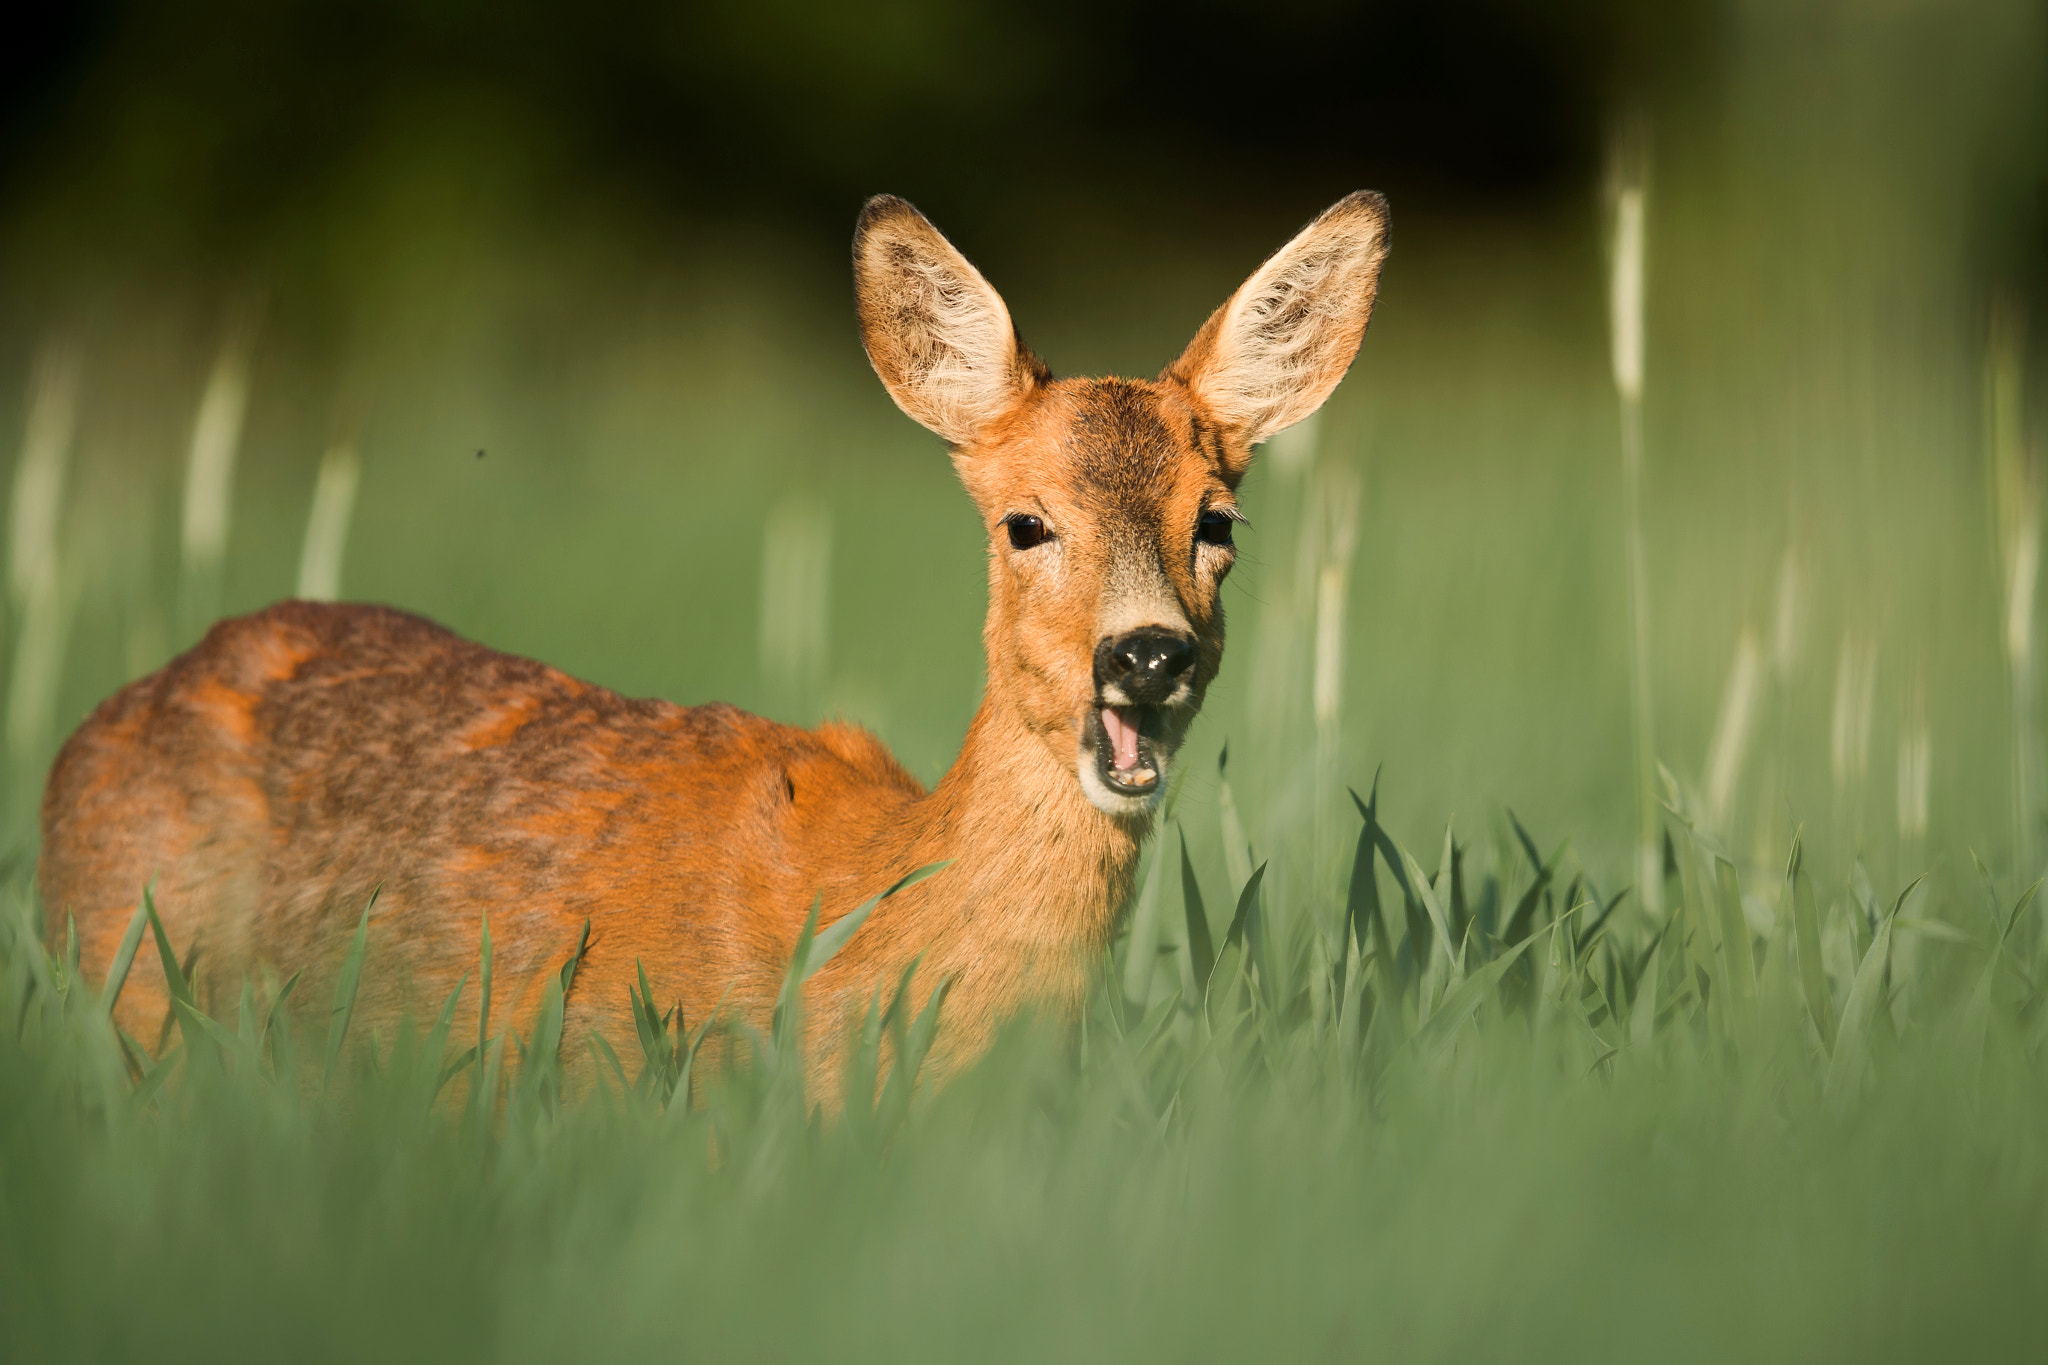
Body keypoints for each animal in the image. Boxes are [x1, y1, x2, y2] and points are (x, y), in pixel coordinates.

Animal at [39, 189, 1392, 1088]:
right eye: (1025, 522)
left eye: (1215, 521)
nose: (1145, 655)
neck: (869, 916)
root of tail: (88, 736)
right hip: (129, 988)